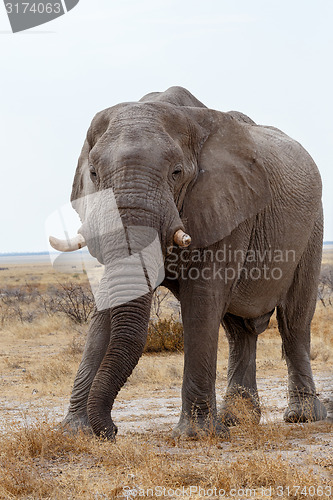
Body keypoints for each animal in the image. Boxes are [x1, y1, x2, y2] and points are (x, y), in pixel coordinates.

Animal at [50, 87, 326, 442]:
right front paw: (75, 433)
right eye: (94, 174)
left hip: (313, 226)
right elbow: (107, 303)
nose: (111, 430)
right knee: (238, 331)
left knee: (294, 321)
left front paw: (195, 435)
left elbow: (202, 301)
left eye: (176, 173)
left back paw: (301, 417)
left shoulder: (225, 206)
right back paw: (236, 419)